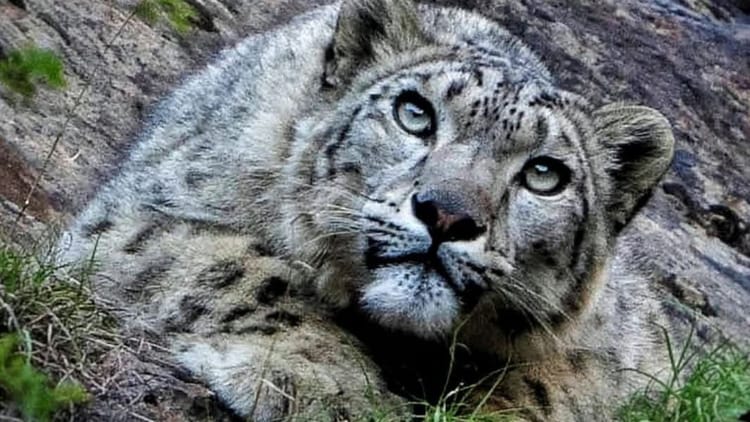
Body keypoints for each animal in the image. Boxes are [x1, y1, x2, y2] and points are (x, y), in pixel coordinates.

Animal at [57, 0, 676, 420]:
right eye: (414, 113)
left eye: (545, 175)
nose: (447, 215)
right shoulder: (134, 220)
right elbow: (252, 273)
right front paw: (327, 387)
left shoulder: (604, 350)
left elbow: (548, 385)